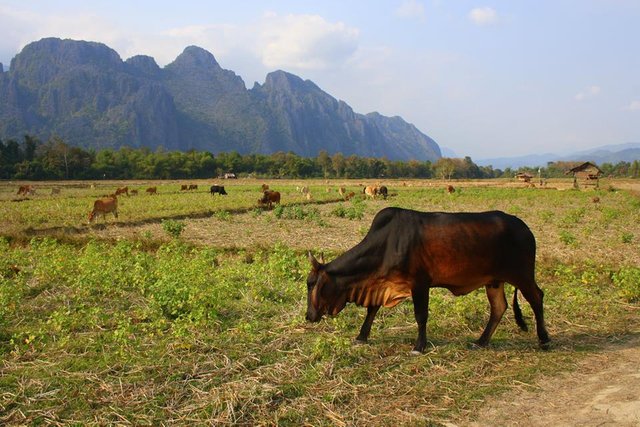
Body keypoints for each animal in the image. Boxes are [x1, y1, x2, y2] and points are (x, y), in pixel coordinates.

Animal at [304, 208, 552, 354]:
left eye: (311, 284)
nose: (309, 316)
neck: (387, 244)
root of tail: (525, 229)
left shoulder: (420, 284)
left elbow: (421, 316)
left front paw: (419, 346)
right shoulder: (382, 284)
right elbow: (372, 310)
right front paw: (361, 336)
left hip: (522, 275)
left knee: (537, 298)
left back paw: (544, 340)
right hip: (494, 281)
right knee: (499, 308)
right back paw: (481, 341)